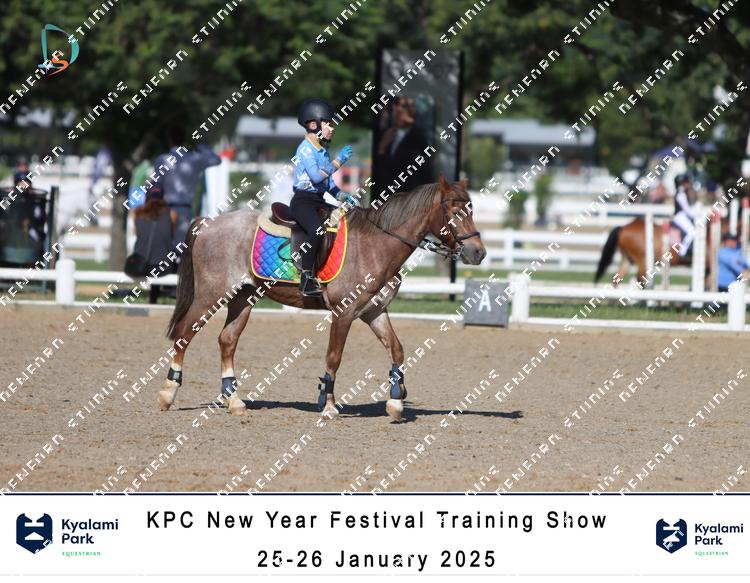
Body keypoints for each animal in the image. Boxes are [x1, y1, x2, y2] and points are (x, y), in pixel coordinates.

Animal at [156, 176, 486, 422]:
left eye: (471, 208)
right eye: (453, 211)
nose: (478, 253)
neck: (377, 244)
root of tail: (209, 223)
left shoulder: (374, 311)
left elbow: (397, 350)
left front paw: (395, 402)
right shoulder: (344, 312)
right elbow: (334, 357)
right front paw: (327, 404)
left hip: (243, 297)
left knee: (227, 340)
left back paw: (234, 401)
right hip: (211, 295)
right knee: (184, 334)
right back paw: (168, 393)